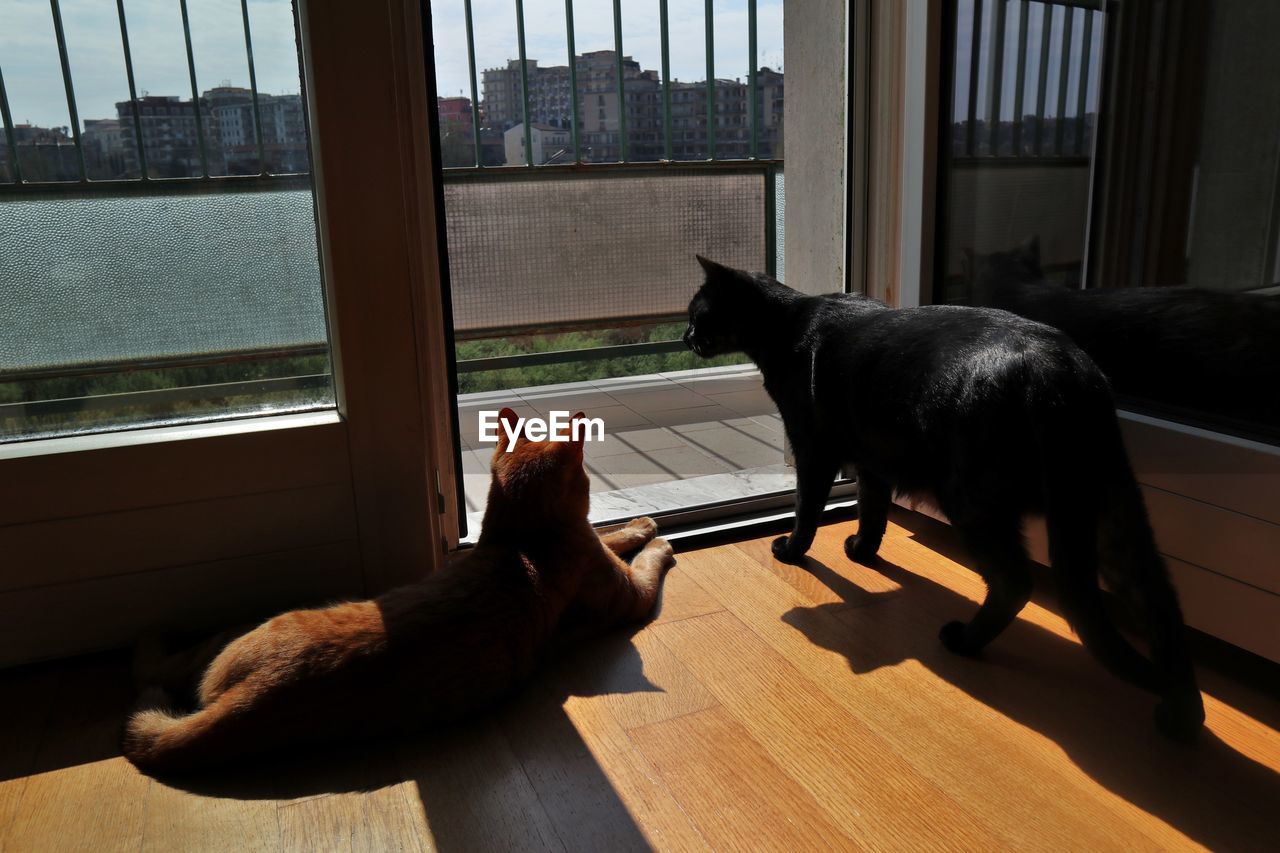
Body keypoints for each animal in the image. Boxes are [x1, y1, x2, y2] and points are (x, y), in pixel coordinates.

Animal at [124, 407, 675, 768]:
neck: (522, 541)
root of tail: (251, 696)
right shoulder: (631, 593)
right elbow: (634, 551)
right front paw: (654, 533)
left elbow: (610, 533)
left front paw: (638, 525)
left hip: (225, 638)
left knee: (162, 667)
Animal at [686, 252, 1203, 737]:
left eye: (696, 313)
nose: (687, 336)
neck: (786, 324)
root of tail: (1054, 372)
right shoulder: (872, 456)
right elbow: (873, 511)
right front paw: (862, 552)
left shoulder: (815, 449)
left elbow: (808, 509)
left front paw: (792, 551)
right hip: (1116, 513)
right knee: (1162, 606)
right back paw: (1183, 714)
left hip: (973, 502)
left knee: (1016, 583)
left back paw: (965, 641)